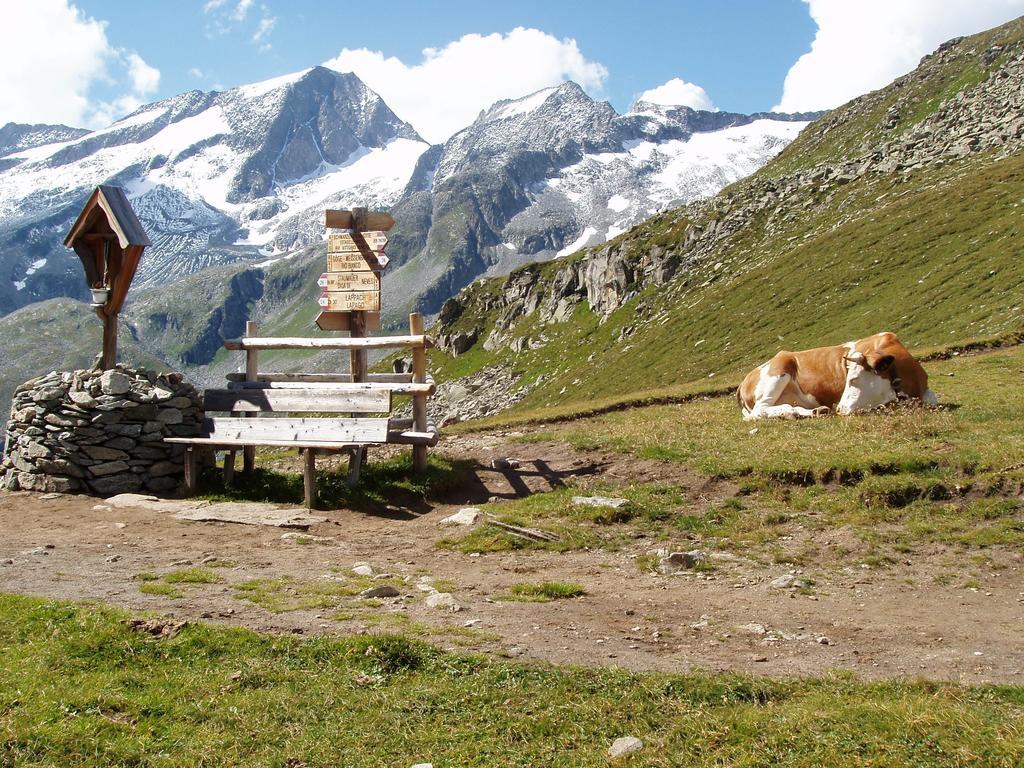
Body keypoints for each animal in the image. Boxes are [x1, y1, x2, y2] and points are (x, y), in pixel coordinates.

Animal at [737, 331, 937, 421]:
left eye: (854, 380)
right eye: (849, 378)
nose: (839, 408)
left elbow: (933, 398)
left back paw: (815, 411)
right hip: (778, 370)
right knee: (758, 411)